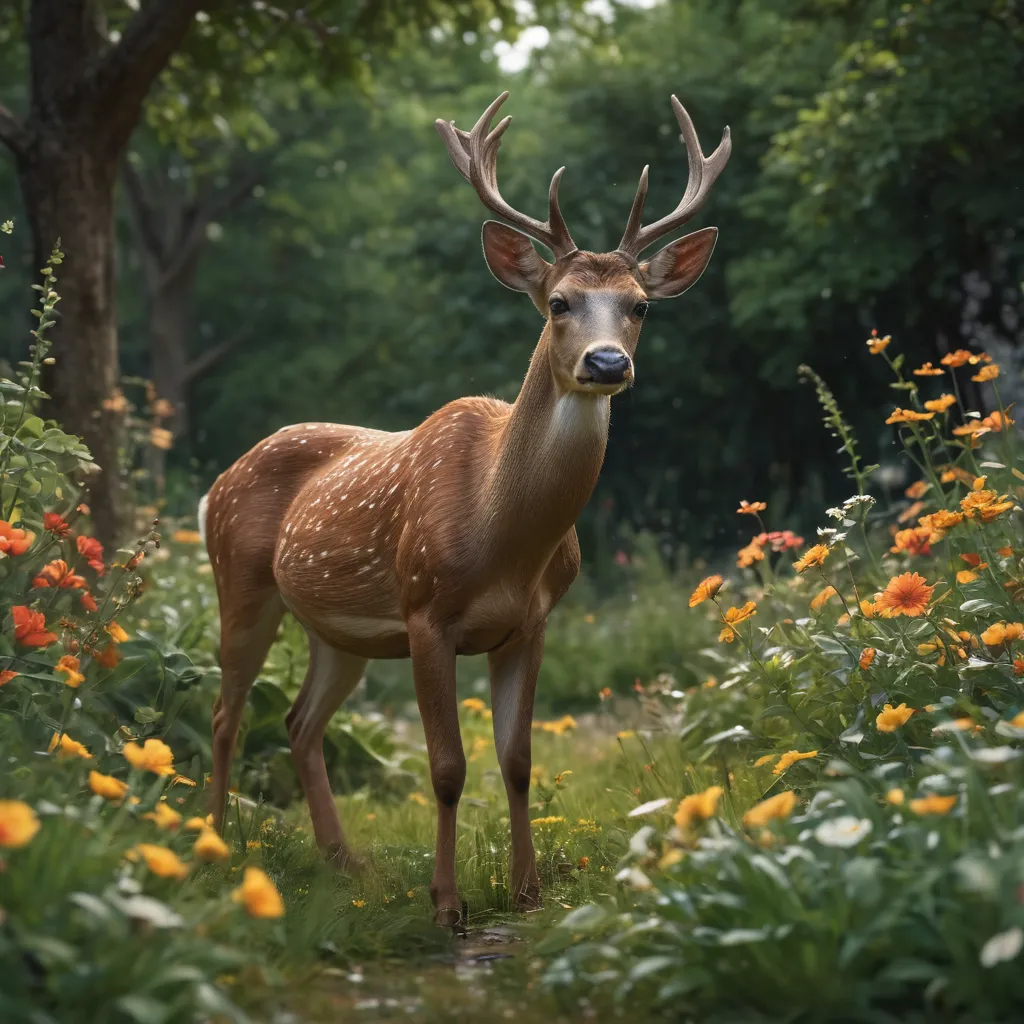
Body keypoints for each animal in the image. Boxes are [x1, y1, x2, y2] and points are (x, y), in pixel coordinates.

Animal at [199, 91, 730, 927]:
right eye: (558, 302)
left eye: (641, 306)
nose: (606, 362)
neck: (502, 536)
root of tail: (218, 482)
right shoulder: (426, 612)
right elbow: (447, 767)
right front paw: (447, 903)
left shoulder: (532, 622)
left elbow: (517, 760)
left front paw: (527, 889)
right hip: (241, 582)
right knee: (228, 717)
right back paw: (216, 844)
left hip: (337, 631)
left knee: (299, 721)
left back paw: (343, 860)